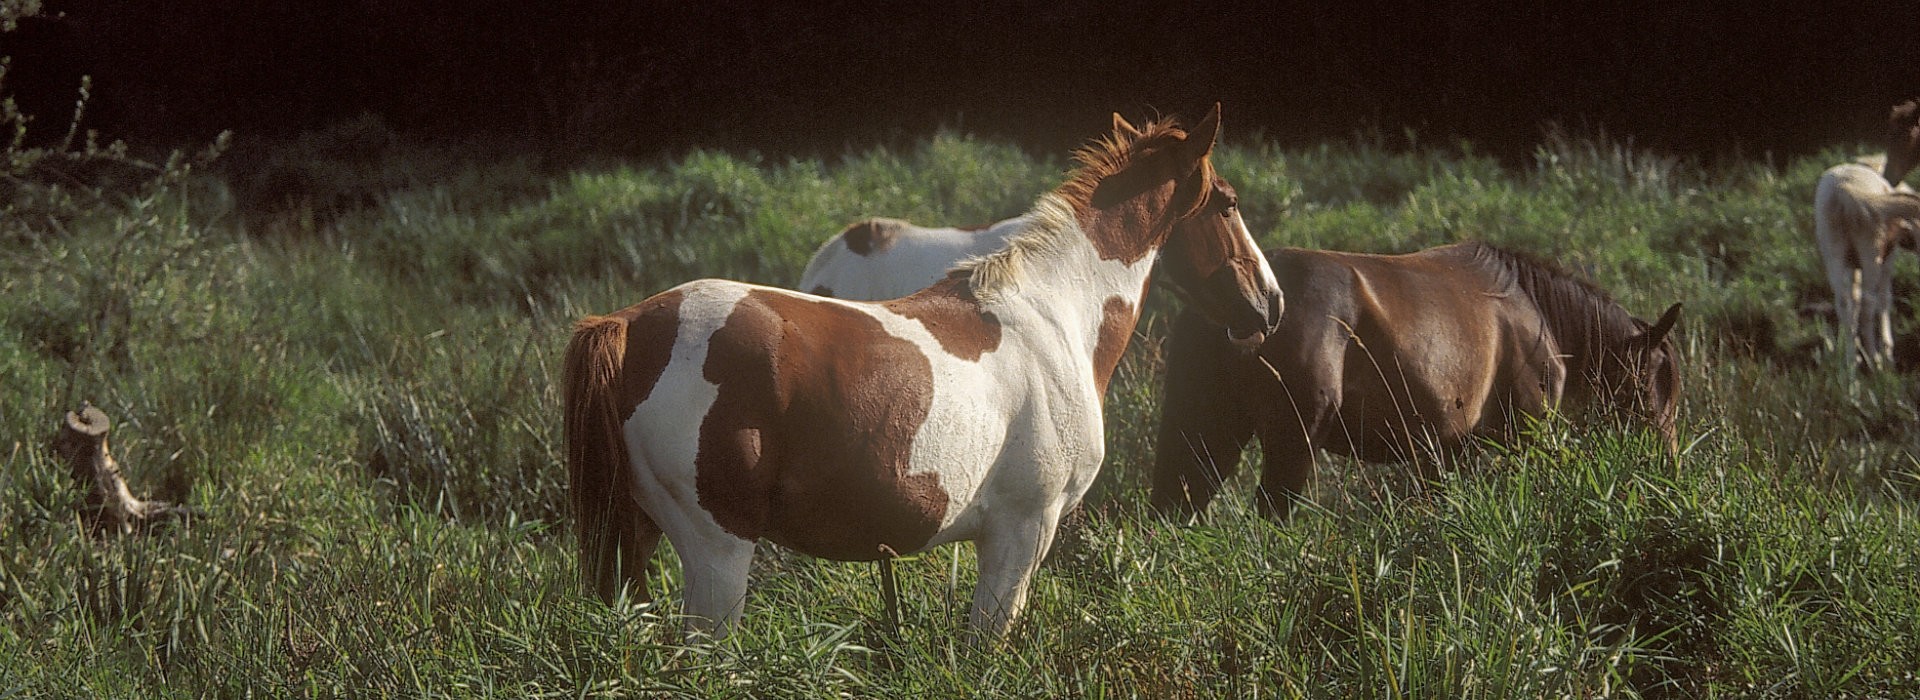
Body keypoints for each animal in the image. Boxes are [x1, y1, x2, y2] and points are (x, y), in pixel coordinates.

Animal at [560, 105, 1282, 636]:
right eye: (1227, 203)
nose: (1270, 303)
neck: (1053, 313)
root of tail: (629, 325)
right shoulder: (1022, 532)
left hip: (639, 542)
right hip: (718, 553)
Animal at [1144, 239, 1674, 517]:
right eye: (1654, 381)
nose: (1665, 464)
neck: (1534, 309)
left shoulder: (1445, 452)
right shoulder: (1528, 435)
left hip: (1208, 434)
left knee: (1174, 506)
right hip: (1291, 442)